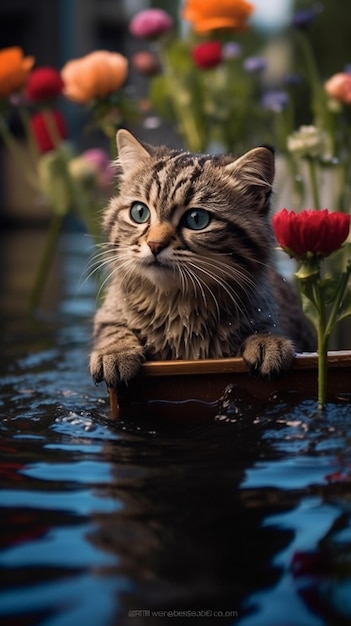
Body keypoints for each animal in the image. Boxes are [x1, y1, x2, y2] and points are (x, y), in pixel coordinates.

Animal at [89, 129, 314, 388]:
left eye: (197, 219)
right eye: (139, 212)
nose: (154, 245)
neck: (176, 305)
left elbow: (267, 326)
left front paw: (267, 342)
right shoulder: (109, 313)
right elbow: (112, 327)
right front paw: (115, 351)